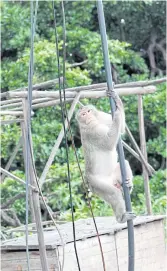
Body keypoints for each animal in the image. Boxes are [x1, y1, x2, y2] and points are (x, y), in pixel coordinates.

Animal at [76, 94, 135, 224]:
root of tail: (111, 181)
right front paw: (116, 114)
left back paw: (128, 184)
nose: (87, 116)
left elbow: (121, 130)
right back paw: (122, 218)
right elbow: (108, 143)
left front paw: (117, 101)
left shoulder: (103, 117)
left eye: (88, 111)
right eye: (83, 114)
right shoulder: (92, 132)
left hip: (114, 177)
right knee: (113, 194)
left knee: (124, 163)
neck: (96, 121)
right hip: (97, 185)